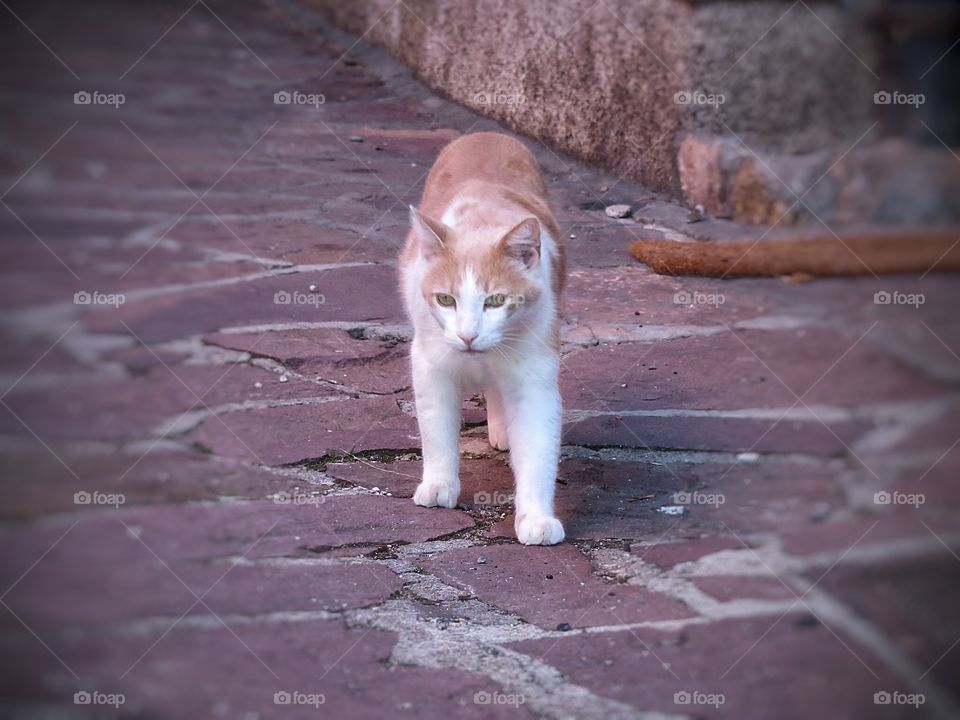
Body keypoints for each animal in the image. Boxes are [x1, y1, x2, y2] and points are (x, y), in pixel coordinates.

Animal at [396, 131, 564, 544]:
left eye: (496, 301)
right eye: (445, 299)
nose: (468, 335)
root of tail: (487, 134)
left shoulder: (535, 370)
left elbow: (538, 446)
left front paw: (536, 517)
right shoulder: (430, 364)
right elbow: (437, 429)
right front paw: (439, 485)